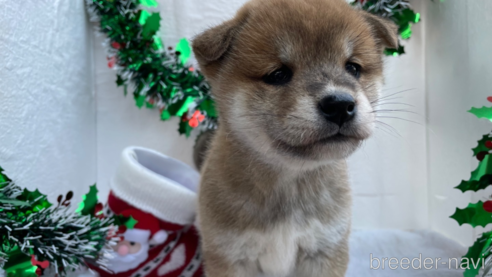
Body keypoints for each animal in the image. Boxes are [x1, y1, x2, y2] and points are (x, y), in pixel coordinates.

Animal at [192, 0, 400, 274]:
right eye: (278, 74)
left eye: (353, 68)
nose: (339, 105)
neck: (289, 182)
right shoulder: (230, 256)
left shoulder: (325, 248)